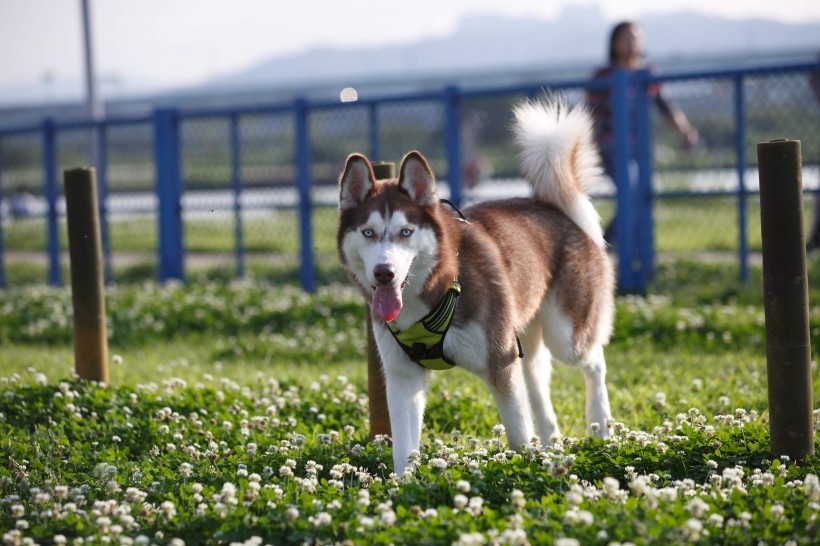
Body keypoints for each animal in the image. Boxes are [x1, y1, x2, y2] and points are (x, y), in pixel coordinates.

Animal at [336, 100, 612, 474]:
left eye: (406, 232)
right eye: (368, 233)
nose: (384, 273)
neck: (436, 290)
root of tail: (554, 207)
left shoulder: (500, 363)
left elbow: (518, 435)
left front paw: (524, 473)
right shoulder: (402, 377)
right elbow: (403, 450)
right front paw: (402, 484)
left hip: (566, 338)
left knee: (595, 361)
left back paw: (600, 427)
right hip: (526, 343)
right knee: (540, 390)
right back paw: (553, 448)